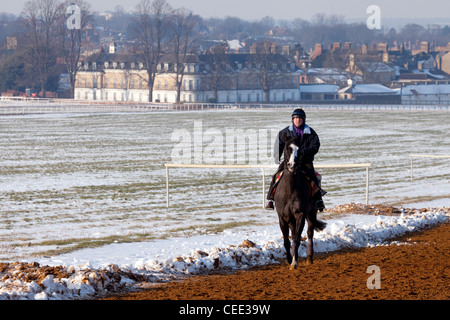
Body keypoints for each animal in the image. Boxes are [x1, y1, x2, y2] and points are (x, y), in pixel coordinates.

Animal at [272, 136, 326, 270]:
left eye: (300, 149)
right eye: (287, 148)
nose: (292, 166)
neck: (289, 190)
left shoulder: (300, 214)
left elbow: (297, 238)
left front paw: (294, 263)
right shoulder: (282, 216)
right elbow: (287, 240)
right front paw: (289, 259)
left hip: (312, 213)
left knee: (309, 233)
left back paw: (309, 258)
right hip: (291, 219)